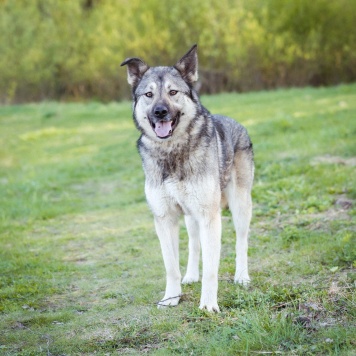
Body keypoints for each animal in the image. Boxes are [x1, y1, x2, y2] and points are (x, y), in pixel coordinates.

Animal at [121, 44, 254, 312]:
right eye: (148, 95)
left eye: (173, 92)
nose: (160, 112)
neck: (172, 152)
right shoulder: (164, 219)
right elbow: (171, 266)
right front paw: (171, 298)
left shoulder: (210, 217)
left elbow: (212, 269)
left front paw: (209, 305)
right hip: (192, 217)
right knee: (194, 244)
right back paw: (192, 275)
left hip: (240, 206)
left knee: (241, 240)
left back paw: (242, 277)